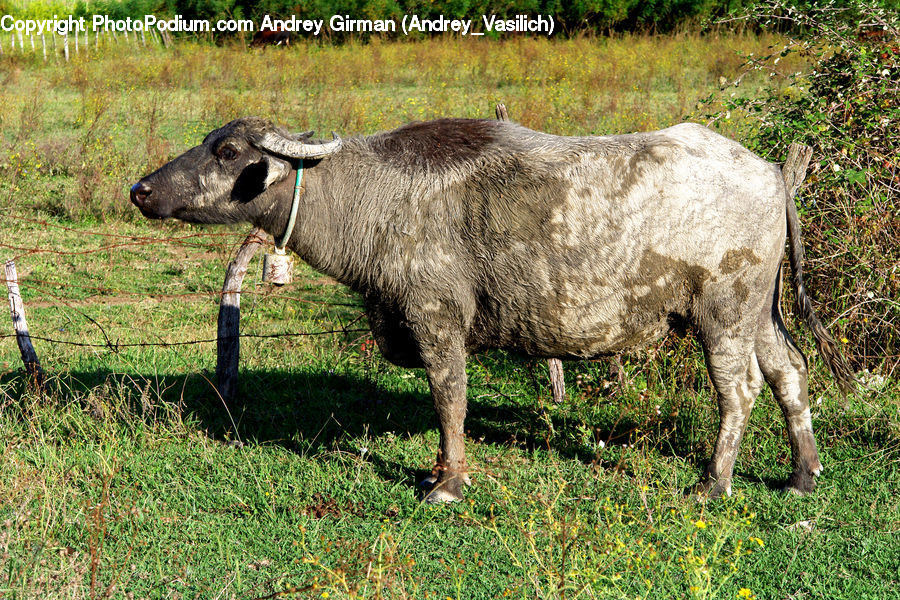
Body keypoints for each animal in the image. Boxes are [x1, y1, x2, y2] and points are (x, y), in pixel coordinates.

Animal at [130, 117, 855, 503]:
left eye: (228, 152)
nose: (140, 189)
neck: (376, 199)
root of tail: (772, 173)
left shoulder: (436, 321)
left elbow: (449, 400)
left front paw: (446, 482)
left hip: (722, 317)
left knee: (740, 390)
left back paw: (712, 482)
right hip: (759, 315)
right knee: (790, 373)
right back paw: (803, 474)